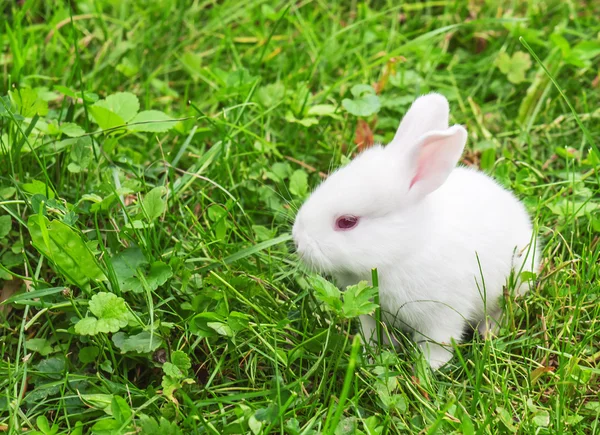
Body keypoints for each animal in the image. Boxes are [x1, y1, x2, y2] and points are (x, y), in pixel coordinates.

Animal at [292, 93, 540, 370]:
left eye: (347, 221)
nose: (298, 242)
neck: (406, 248)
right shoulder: (369, 311)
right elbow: (371, 334)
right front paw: (371, 355)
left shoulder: (442, 314)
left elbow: (438, 344)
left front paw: (426, 369)